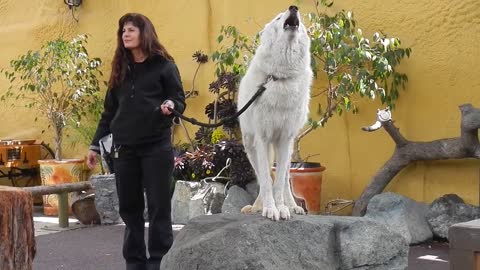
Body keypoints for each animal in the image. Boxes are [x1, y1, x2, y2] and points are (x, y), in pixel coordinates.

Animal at [238, 5, 314, 221]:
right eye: (279, 18)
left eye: (300, 19)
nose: (293, 8)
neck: (280, 77)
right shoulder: (262, 139)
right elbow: (265, 180)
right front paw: (269, 209)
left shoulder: (284, 140)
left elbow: (279, 183)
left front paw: (282, 209)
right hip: (251, 147)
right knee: (262, 177)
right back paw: (257, 206)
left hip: (287, 150)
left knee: (286, 178)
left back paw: (293, 206)